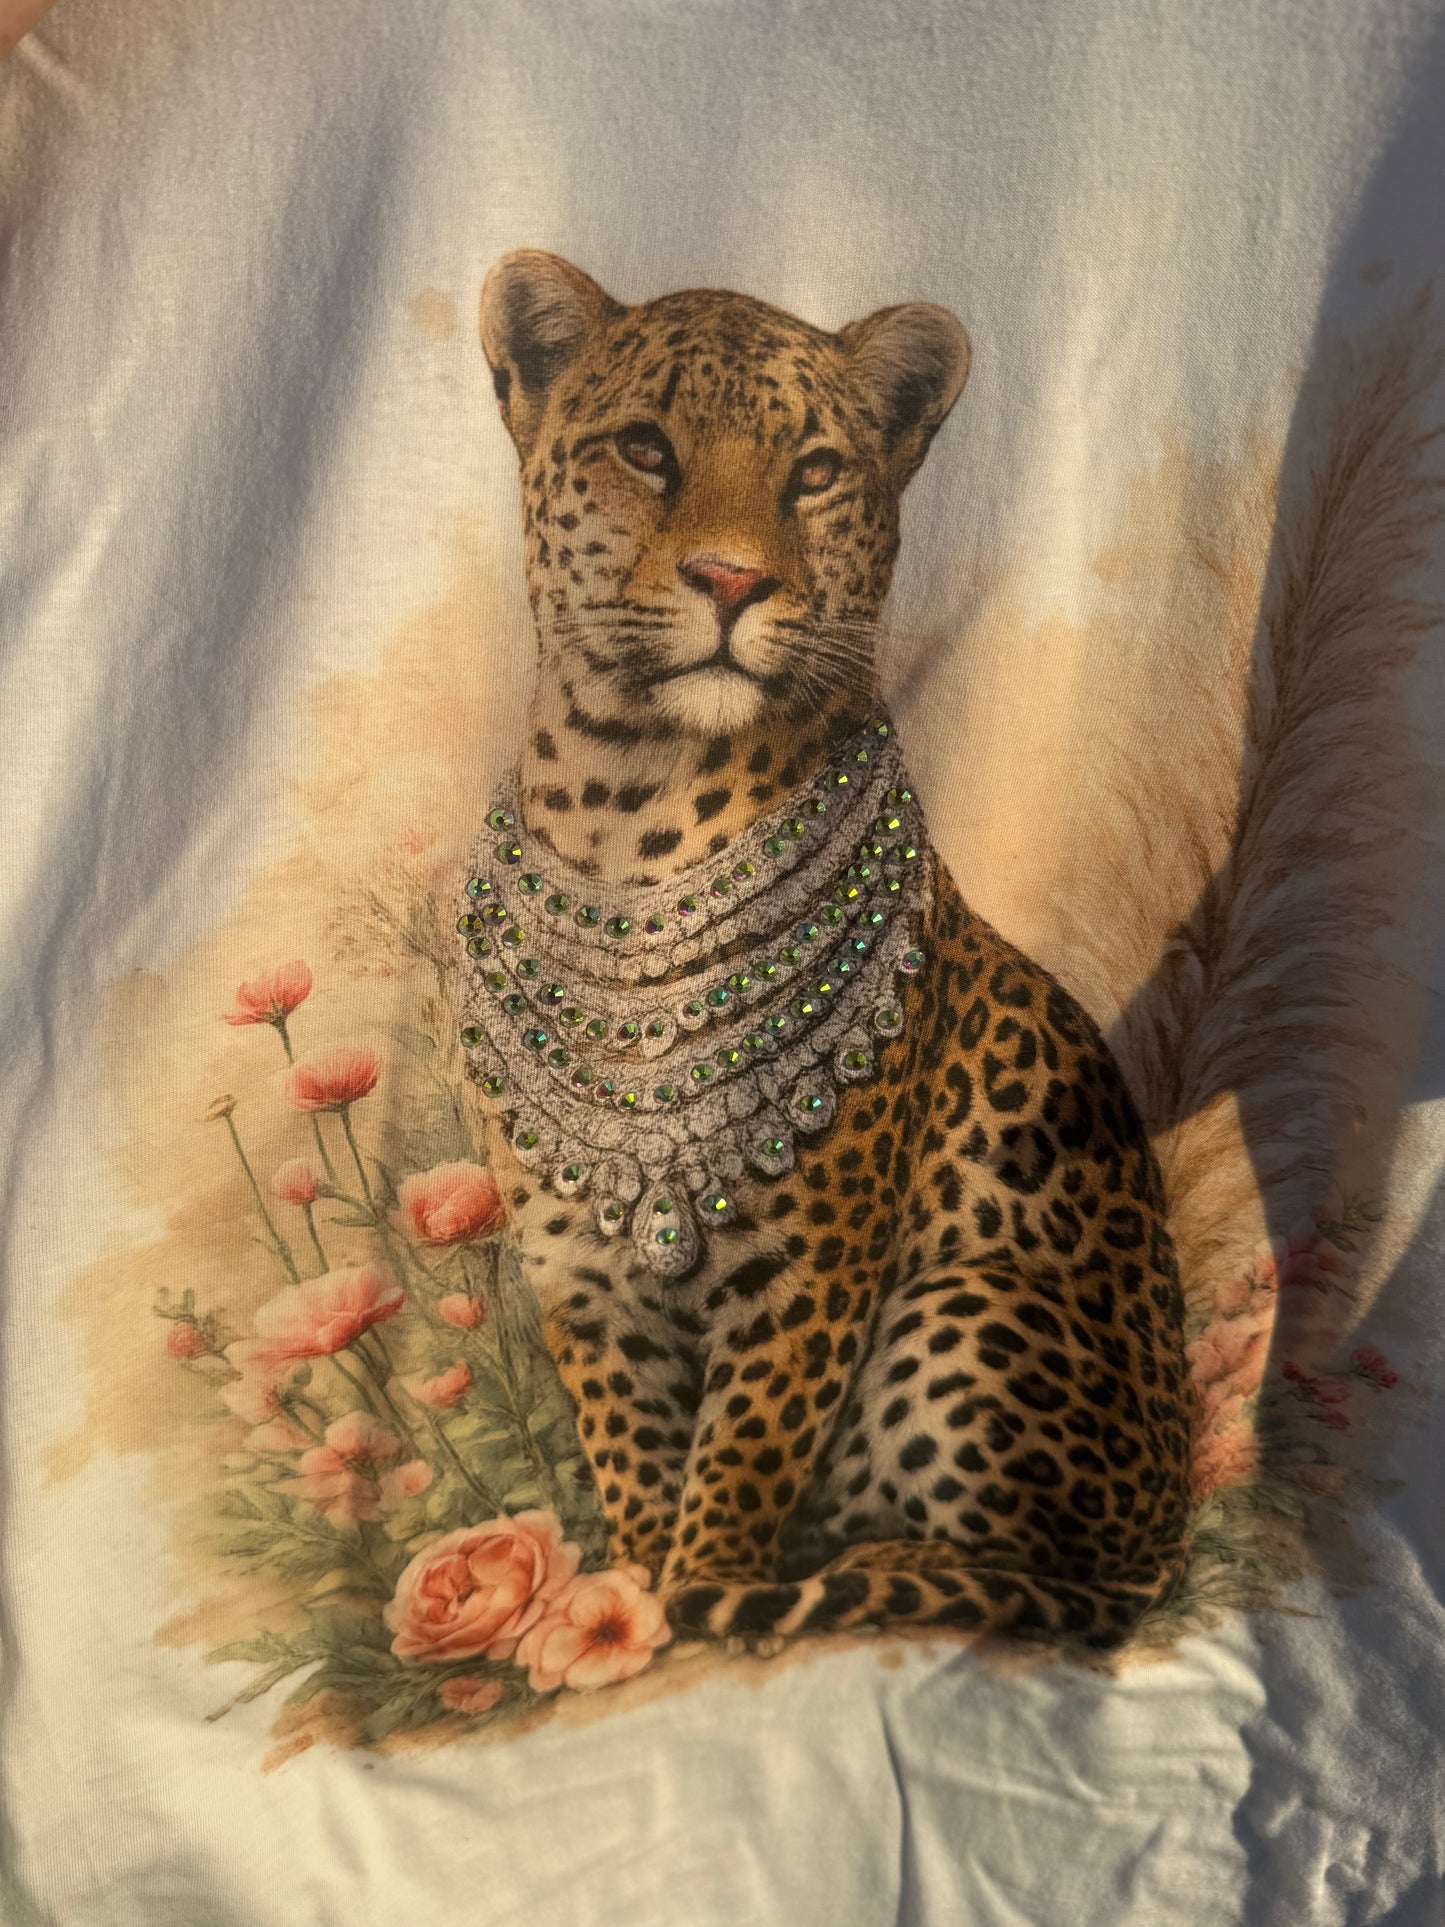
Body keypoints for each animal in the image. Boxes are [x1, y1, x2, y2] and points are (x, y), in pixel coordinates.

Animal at [468, 249, 1191, 1649]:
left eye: (811, 469)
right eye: (644, 449)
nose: (729, 581)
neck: (628, 818)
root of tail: (1174, 1538)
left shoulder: (808, 1263)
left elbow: (741, 1455)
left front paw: (696, 1595)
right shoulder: (577, 1267)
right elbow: (629, 1447)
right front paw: (632, 1597)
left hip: (967, 1306)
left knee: (1050, 1595)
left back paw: (864, 1572)